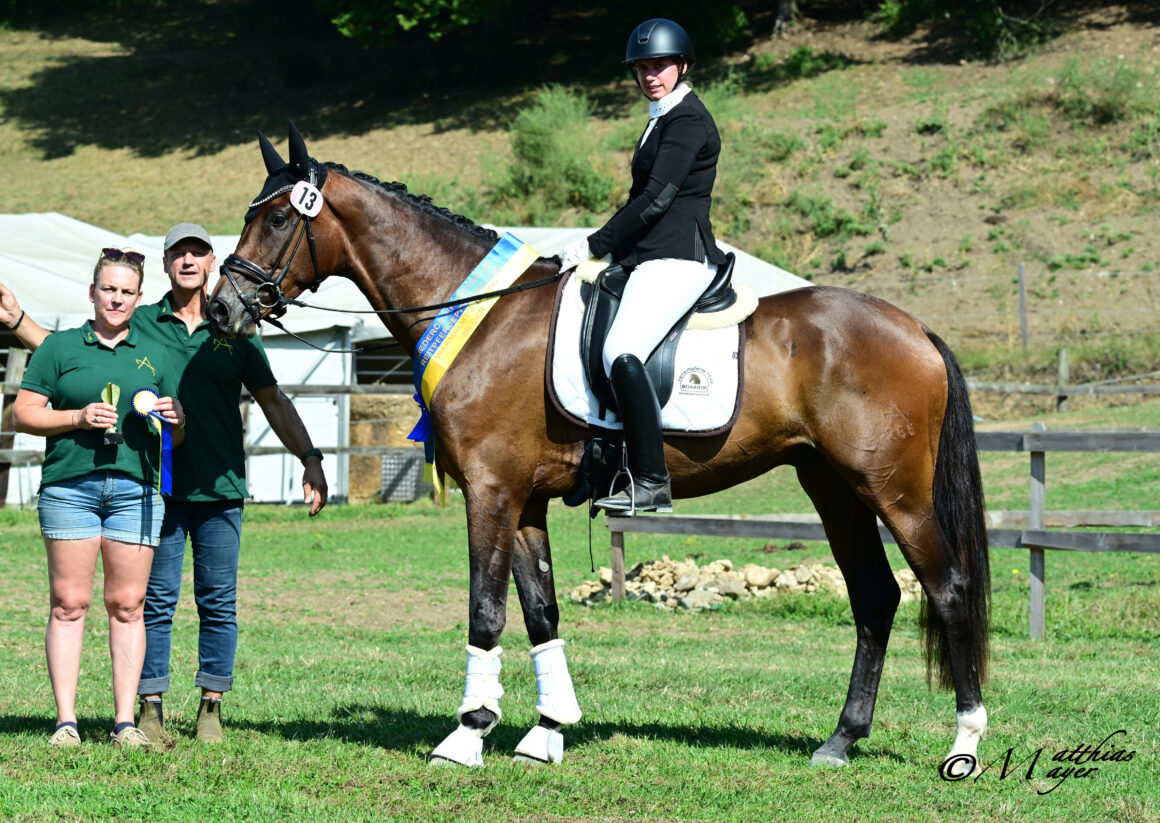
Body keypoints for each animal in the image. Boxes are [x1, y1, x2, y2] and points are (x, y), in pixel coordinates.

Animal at [206, 125, 988, 775]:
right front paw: (545, 732)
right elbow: (542, 612)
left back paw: (965, 744)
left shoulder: (490, 491)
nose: (221, 308)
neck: (481, 315)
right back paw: (840, 740)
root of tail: (915, 327)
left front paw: (466, 735)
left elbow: (485, 611)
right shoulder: (523, 501)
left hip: (894, 491)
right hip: (833, 487)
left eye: (279, 217)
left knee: (947, 589)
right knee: (875, 598)